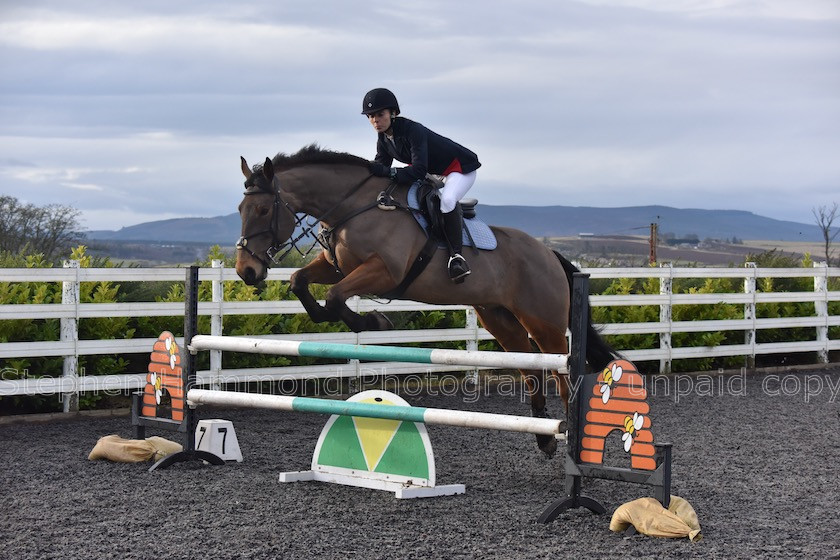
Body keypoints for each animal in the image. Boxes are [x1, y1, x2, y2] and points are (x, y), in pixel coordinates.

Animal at [236, 145, 616, 460]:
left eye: (263, 209)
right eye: (240, 209)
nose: (246, 271)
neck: (352, 207)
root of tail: (549, 254)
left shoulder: (384, 271)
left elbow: (336, 297)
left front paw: (374, 322)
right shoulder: (335, 267)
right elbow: (301, 283)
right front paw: (345, 318)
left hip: (543, 322)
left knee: (563, 377)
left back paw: (570, 442)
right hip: (498, 319)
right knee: (532, 370)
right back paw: (546, 439)